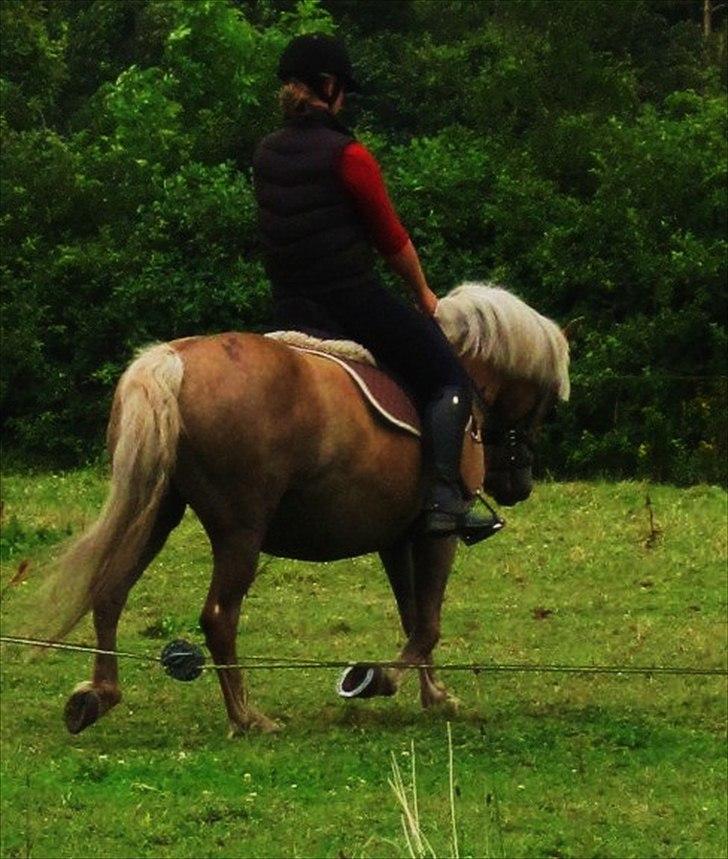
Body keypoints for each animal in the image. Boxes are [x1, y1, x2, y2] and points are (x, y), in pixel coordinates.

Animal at [32, 280, 568, 732]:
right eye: (544, 406)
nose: (521, 484)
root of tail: (174, 360)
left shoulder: (397, 538)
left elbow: (414, 616)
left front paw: (433, 694)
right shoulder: (438, 534)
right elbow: (428, 623)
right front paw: (378, 679)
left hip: (157, 510)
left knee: (110, 589)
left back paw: (98, 695)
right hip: (240, 531)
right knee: (218, 616)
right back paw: (247, 718)